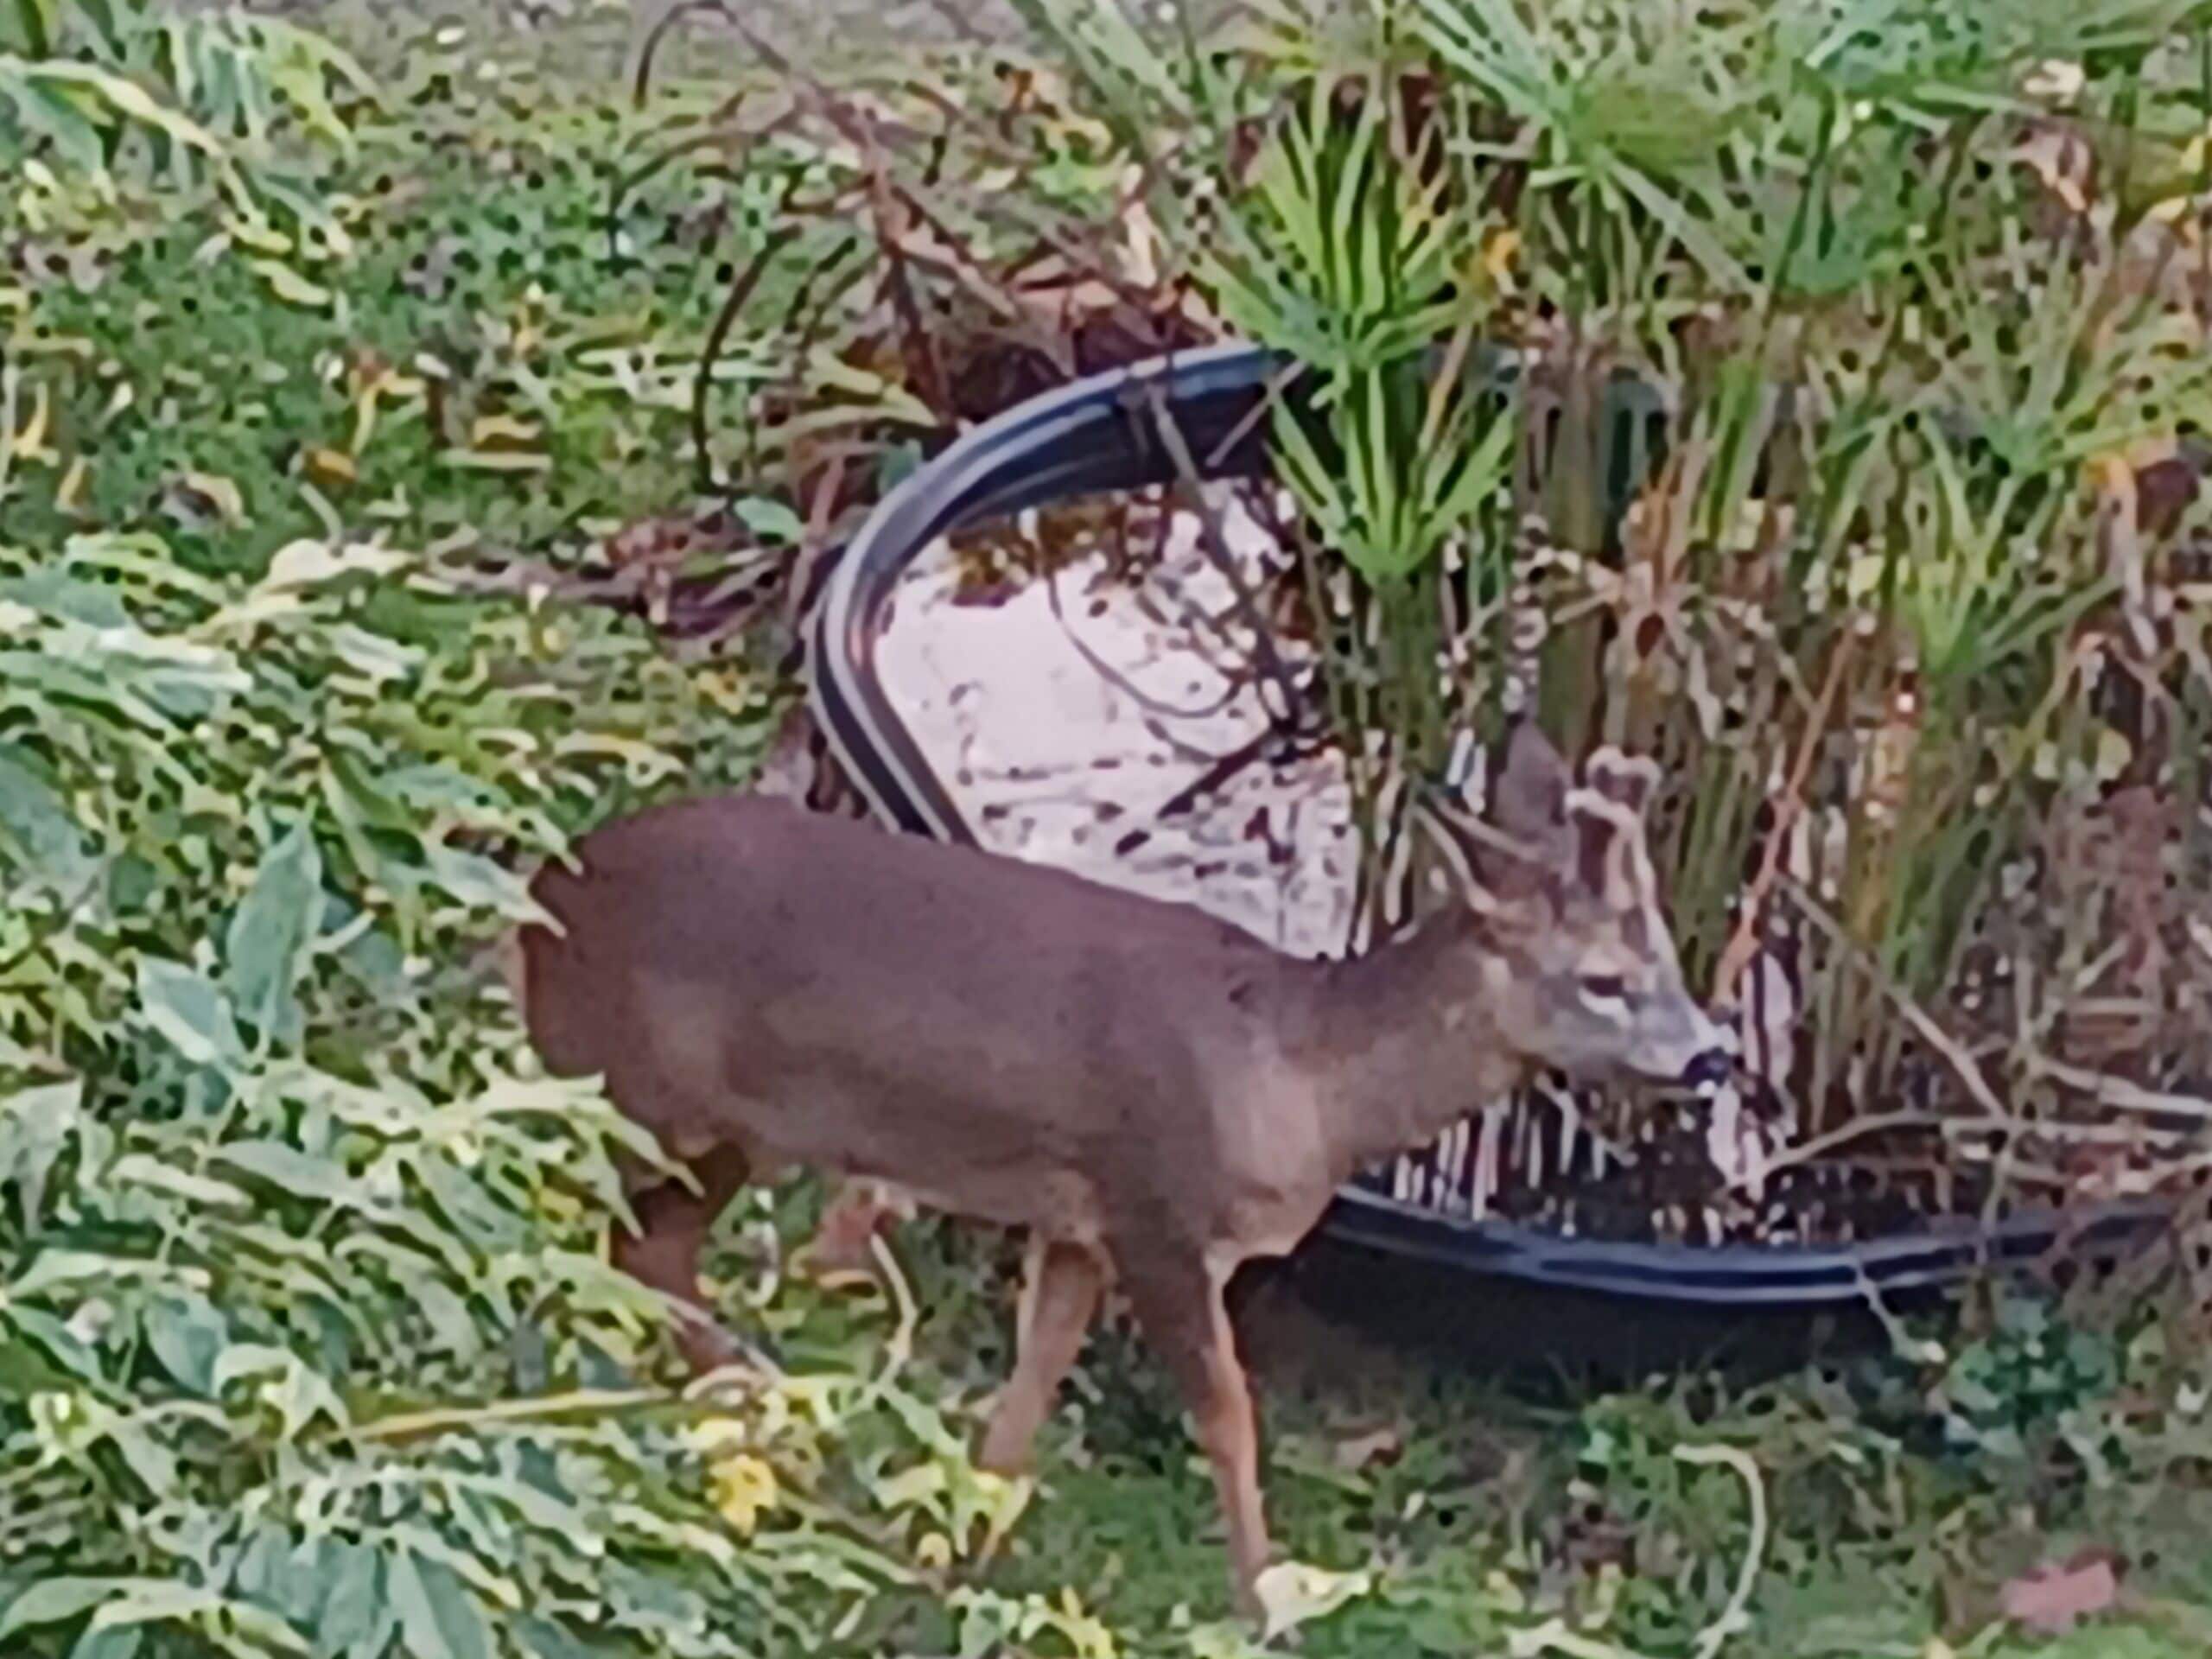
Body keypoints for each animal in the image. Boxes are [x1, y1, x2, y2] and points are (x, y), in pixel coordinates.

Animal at [513, 720, 1734, 1617]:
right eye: (1604, 979)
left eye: (1670, 957)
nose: (1712, 1053)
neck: (1296, 1078)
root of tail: (536, 910)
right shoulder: (1159, 1213)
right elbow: (1229, 1415)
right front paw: (1265, 1603)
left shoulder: (1078, 1222)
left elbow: (1031, 1383)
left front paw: (960, 1554)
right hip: (652, 1097)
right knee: (613, 1243)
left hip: (706, 1128)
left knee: (643, 1252)